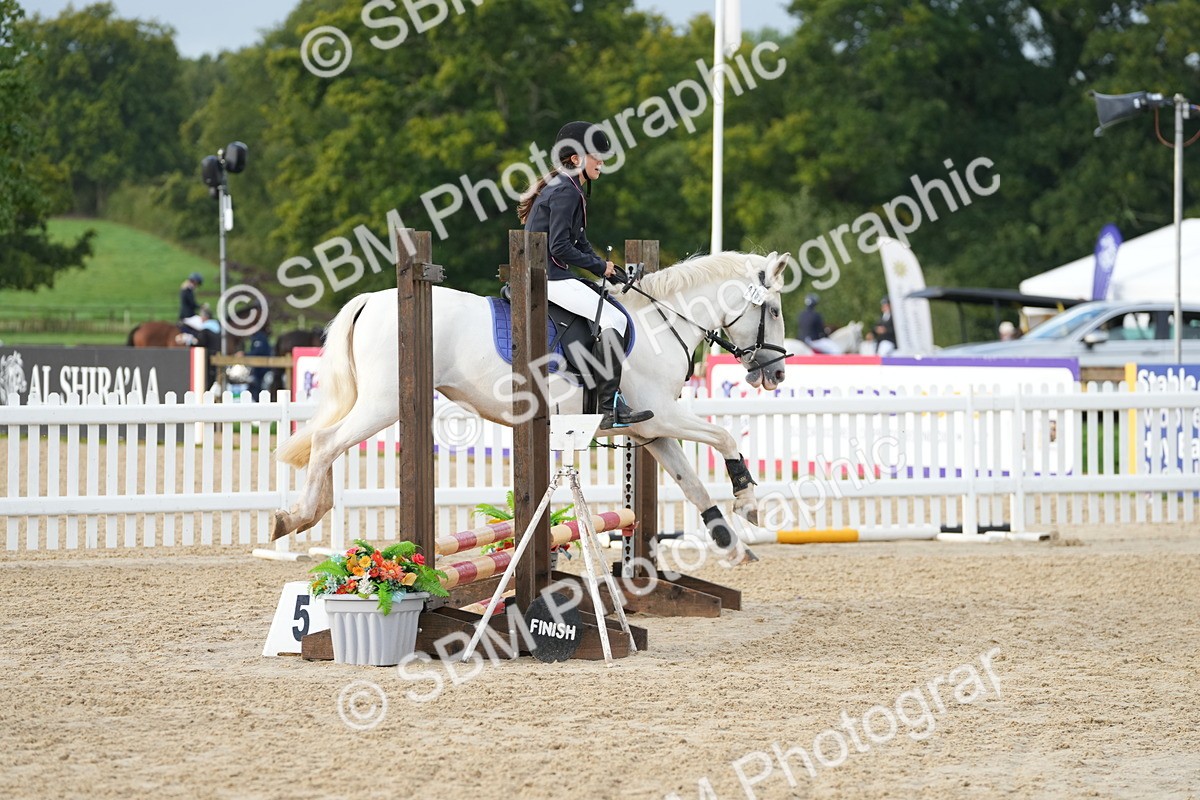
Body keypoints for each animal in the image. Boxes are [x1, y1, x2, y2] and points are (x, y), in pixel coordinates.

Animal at [270, 251, 791, 558]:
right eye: (774, 309)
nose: (778, 374)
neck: (662, 323)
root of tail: (372, 300)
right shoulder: (661, 414)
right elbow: (724, 435)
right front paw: (748, 500)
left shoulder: (650, 430)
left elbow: (692, 483)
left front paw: (728, 540)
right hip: (385, 404)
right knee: (327, 441)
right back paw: (298, 516)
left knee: (327, 443)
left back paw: (309, 511)